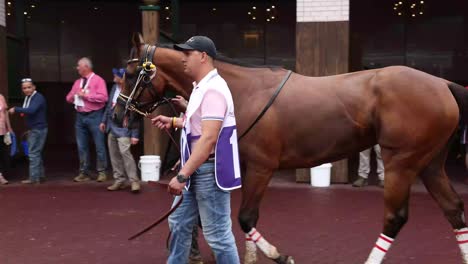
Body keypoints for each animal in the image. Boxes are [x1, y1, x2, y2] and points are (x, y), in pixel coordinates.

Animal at [113, 39, 468, 264]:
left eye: (130, 74)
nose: (117, 115)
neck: (242, 90)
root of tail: (443, 84)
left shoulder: (261, 166)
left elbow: (246, 217)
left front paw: (278, 255)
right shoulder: (241, 164)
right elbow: (234, 217)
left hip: (401, 162)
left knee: (395, 218)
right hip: (429, 163)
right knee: (453, 210)